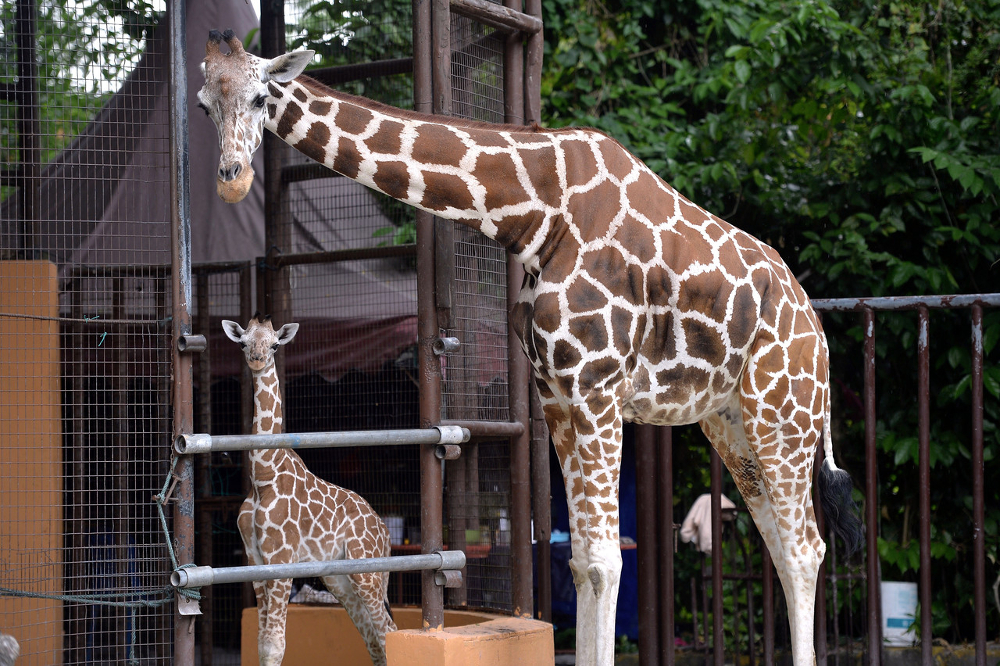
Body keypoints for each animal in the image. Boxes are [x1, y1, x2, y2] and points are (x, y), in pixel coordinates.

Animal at [222, 313, 397, 666]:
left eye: (275, 344)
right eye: (244, 343)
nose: (257, 359)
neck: (263, 474)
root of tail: (384, 532)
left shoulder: (282, 558)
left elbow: (275, 645)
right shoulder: (254, 559)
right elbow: (261, 643)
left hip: (367, 571)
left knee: (388, 632)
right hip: (340, 579)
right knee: (374, 639)